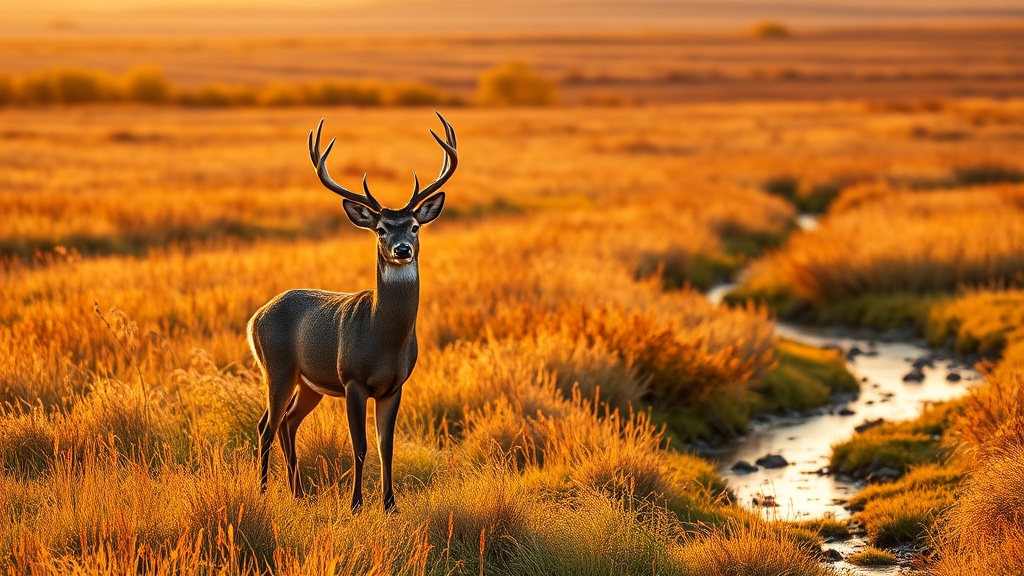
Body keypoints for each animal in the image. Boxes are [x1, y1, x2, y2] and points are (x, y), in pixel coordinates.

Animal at [247, 112, 457, 512]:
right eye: (380, 229)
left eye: (415, 226)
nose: (403, 249)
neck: (383, 337)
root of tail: (255, 317)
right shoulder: (353, 379)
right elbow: (359, 446)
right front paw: (357, 504)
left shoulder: (395, 385)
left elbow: (386, 447)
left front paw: (390, 505)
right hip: (277, 367)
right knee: (266, 424)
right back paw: (263, 492)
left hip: (308, 382)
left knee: (288, 422)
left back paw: (299, 493)